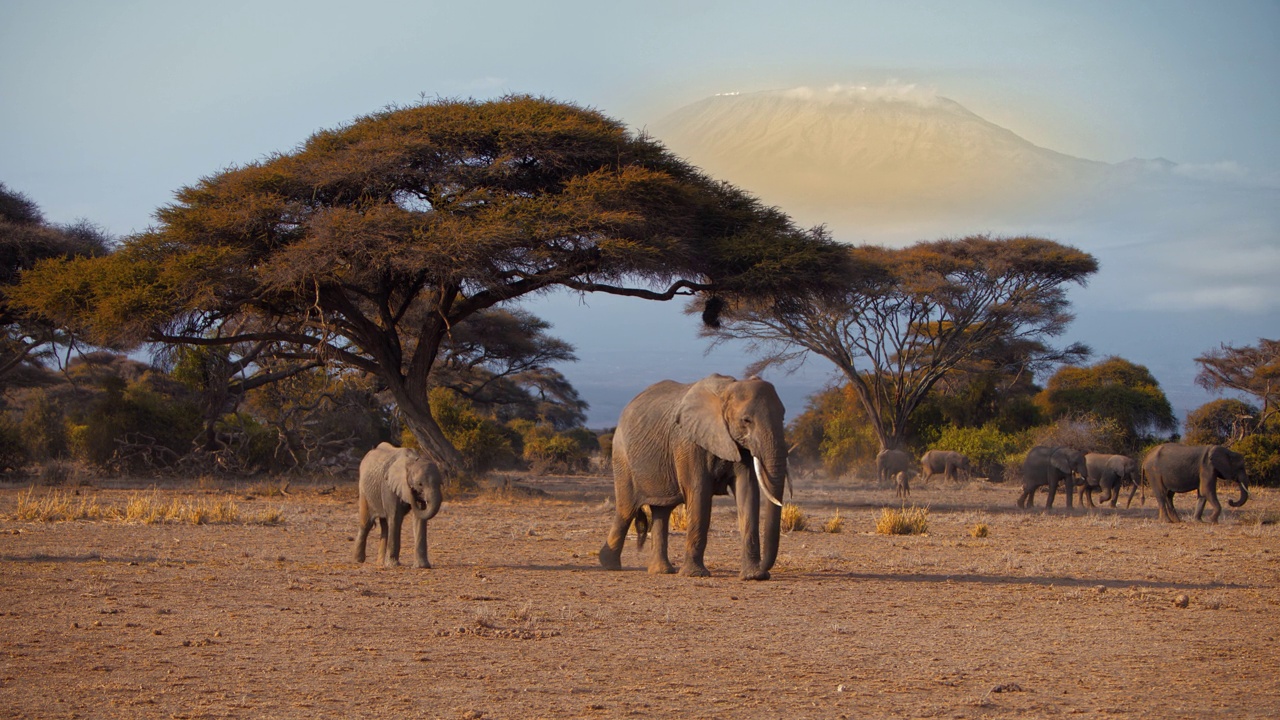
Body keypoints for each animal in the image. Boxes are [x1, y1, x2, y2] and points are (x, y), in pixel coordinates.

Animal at [593, 371, 783, 579]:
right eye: (746, 420)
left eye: (783, 416)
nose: (765, 568)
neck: (726, 390)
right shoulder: (688, 443)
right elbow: (699, 493)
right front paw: (695, 574)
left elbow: (747, 492)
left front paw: (754, 576)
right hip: (622, 459)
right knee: (626, 510)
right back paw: (609, 565)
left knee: (662, 511)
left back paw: (661, 571)